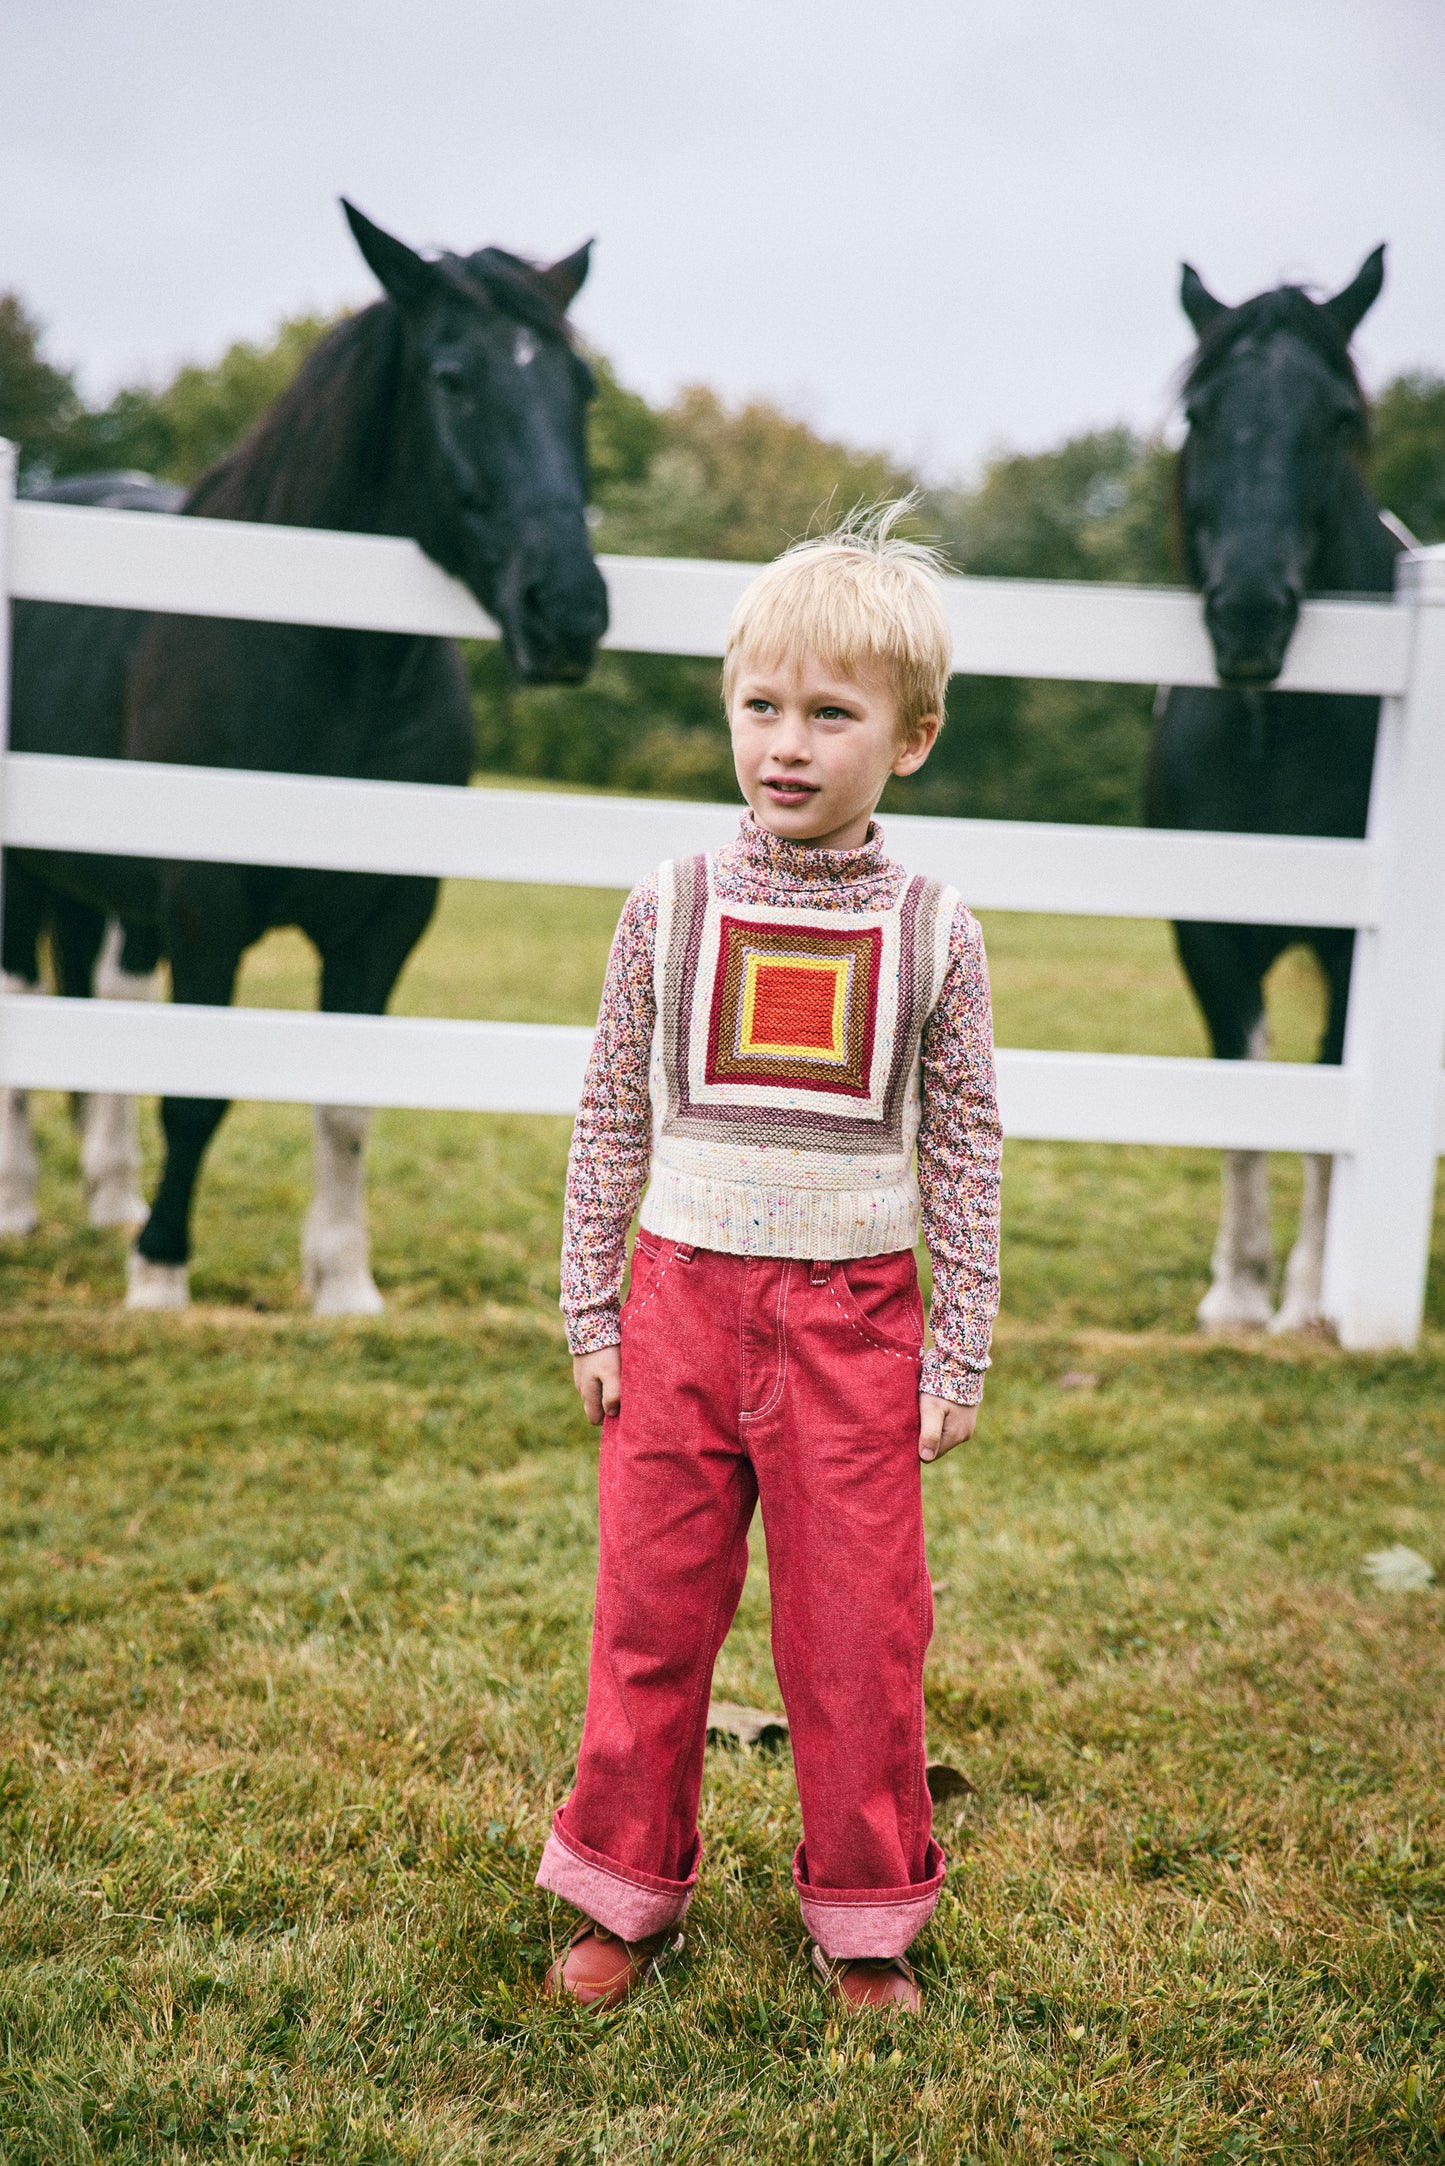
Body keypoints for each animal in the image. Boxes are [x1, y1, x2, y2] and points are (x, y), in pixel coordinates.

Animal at [1, 203, 610, 1308]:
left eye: (578, 387)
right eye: (451, 379)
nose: (570, 613)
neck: (329, 661)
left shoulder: (384, 925)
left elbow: (343, 1099)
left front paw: (343, 1282)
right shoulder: (207, 907)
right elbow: (197, 1097)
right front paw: (161, 1272)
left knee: (110, 998)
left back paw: (110, 1193)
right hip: (30, 877)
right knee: (26, 1000)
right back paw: (23, 1202)